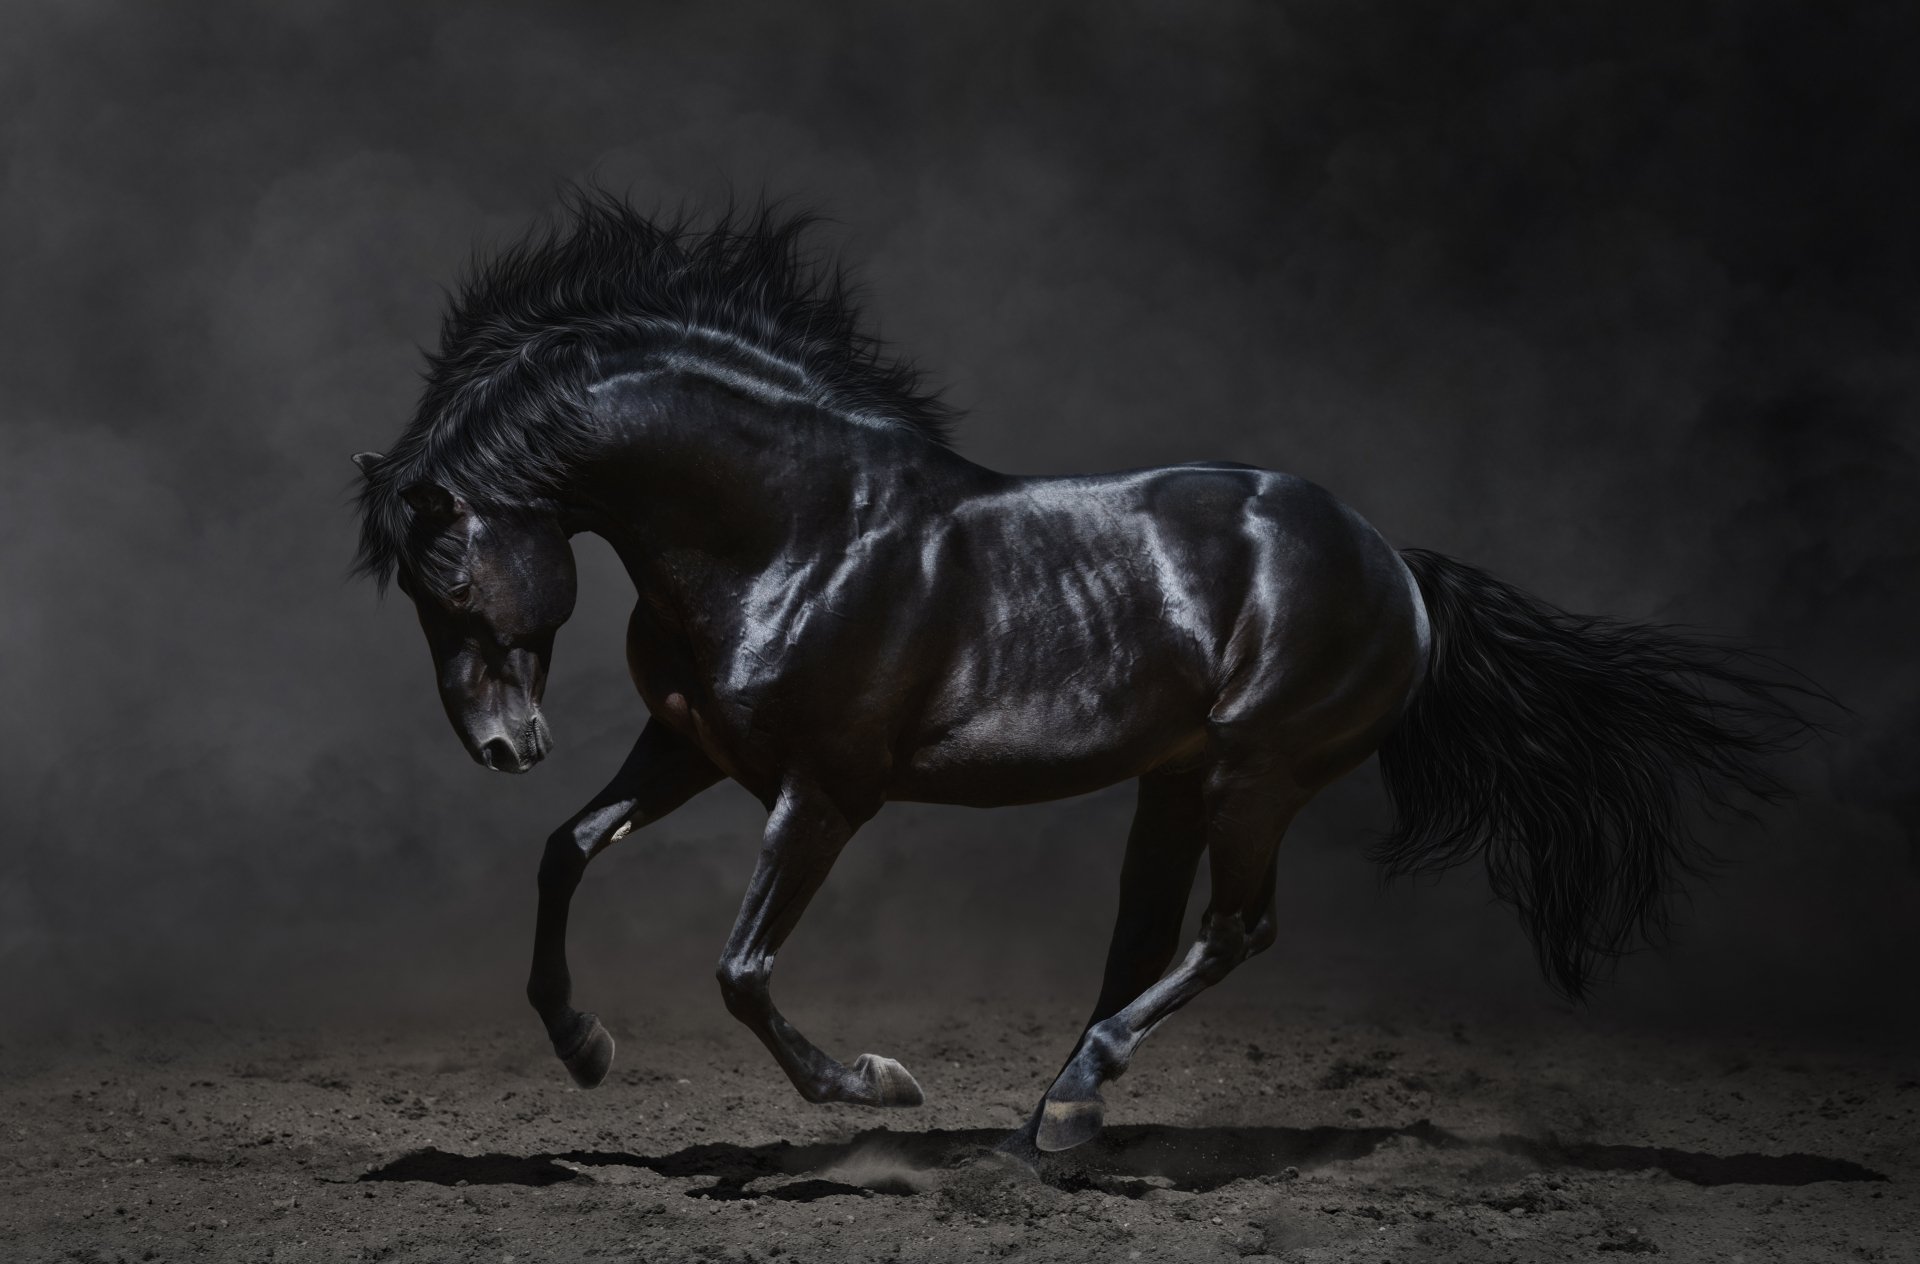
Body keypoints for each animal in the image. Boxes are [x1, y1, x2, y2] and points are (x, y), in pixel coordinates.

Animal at [352, 193, 1813, 1155]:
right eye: (418, 596)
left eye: (451, 578)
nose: (502, 745)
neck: (795, 531)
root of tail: (1395, 563)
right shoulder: (693, 749)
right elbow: (566, 850)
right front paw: (584, 1047)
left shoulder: (823, 792)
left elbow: (742, 969)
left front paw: (876, 1086)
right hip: (1177, 781)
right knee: (1145, 940)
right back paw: (1054, 1117)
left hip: (1257, 774)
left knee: (1234, 930)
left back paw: (1067, 1104)